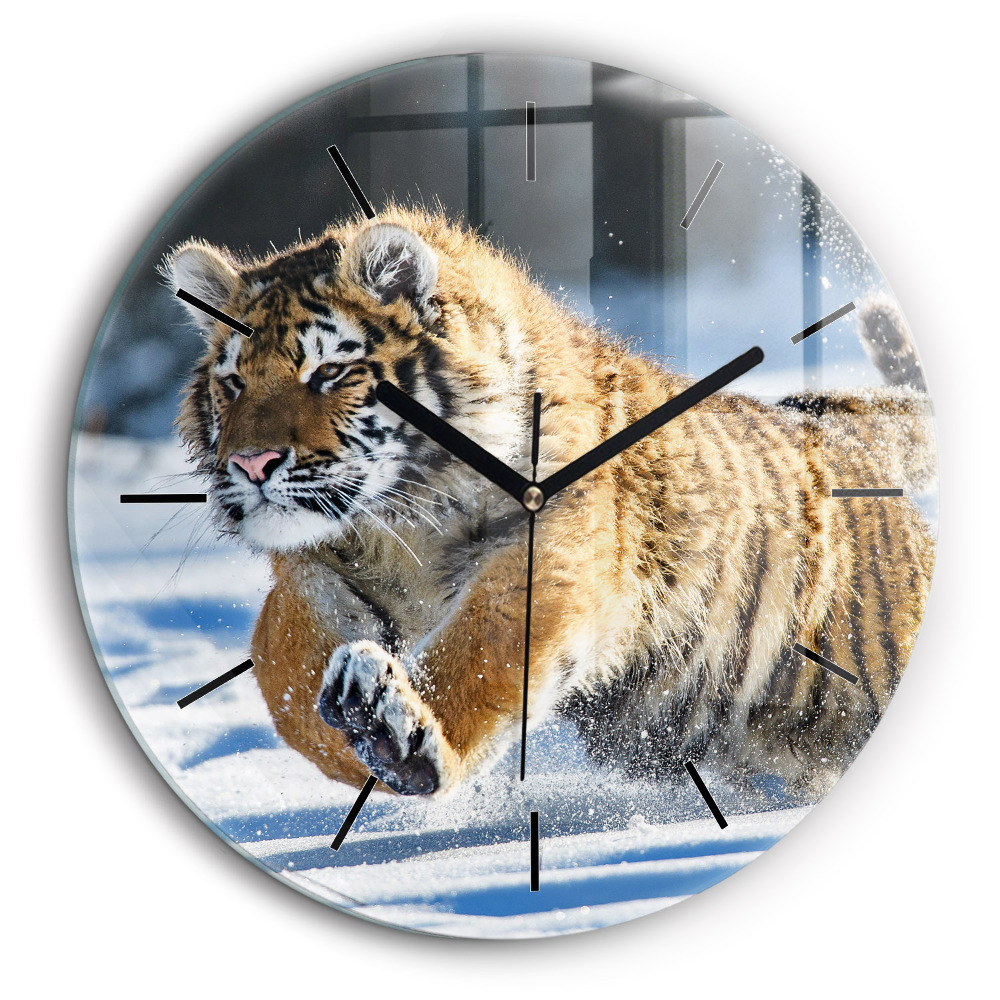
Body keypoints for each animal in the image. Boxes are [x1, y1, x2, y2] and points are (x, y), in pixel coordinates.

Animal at [167, 205, 935, 801]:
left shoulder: (553, 552)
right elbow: (284, 677)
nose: (252, 464)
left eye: (330, 372)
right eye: (234, 383)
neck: (399, 520)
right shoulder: (311, 571)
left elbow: (481, 650)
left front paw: (399, 738)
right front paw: (356, 732)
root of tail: (839, 420)